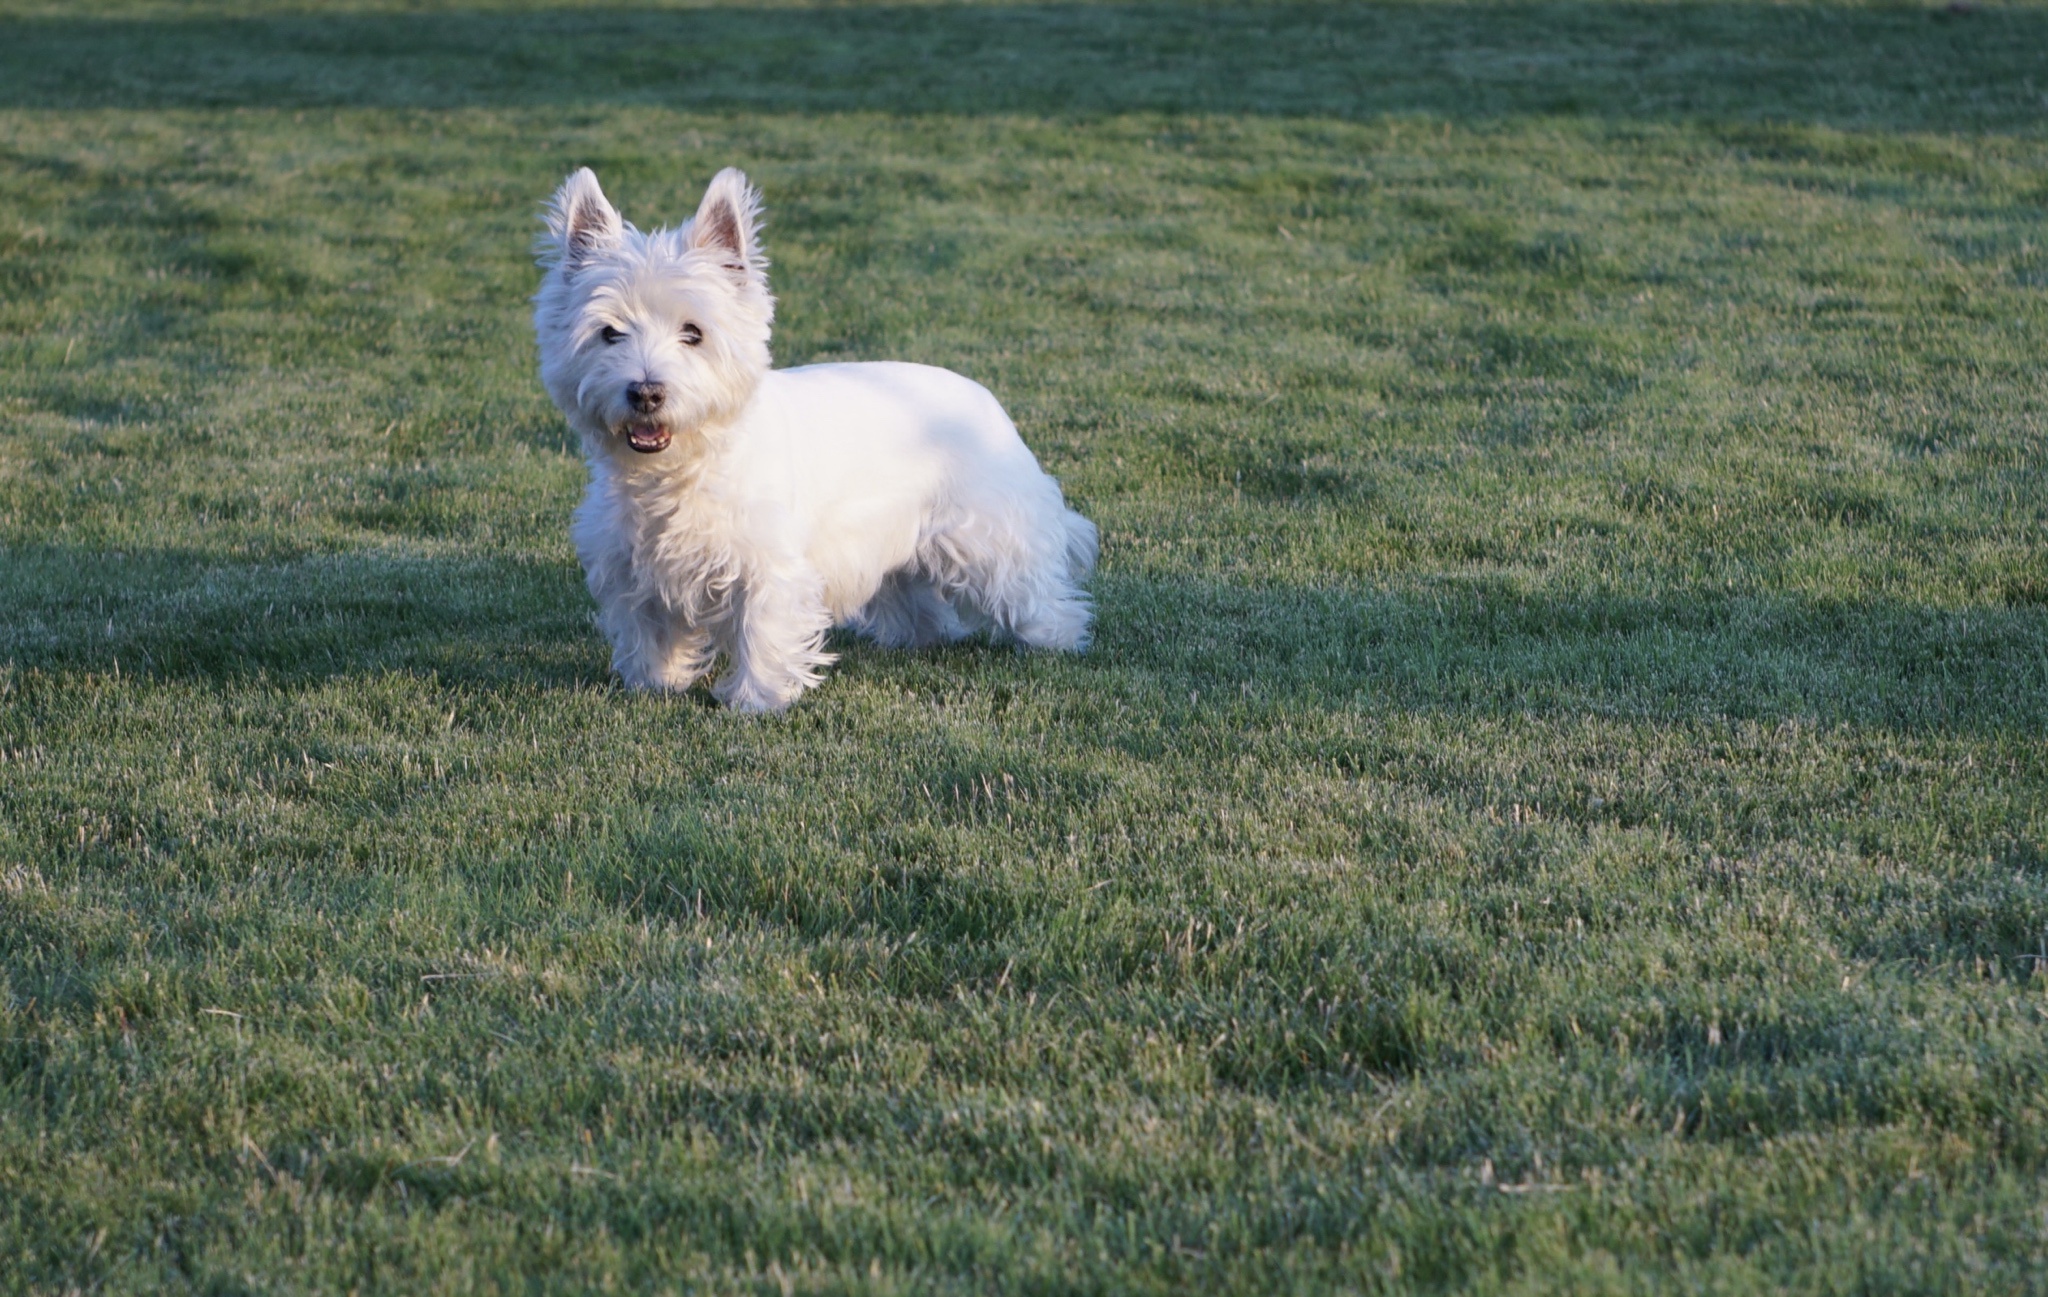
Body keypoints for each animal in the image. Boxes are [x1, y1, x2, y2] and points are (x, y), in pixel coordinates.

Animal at [536, 166, 1097, 713]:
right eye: (609, 332)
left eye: (693, 332)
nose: (646, 392)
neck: (683, 468)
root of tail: (987, 400)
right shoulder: (632, 565)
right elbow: (649, 629)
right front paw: (655, 683)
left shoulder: (769, 564)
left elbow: (761, 629)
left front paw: (756, 701)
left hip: (988, 537)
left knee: (1032, 590)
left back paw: (1055, 639)